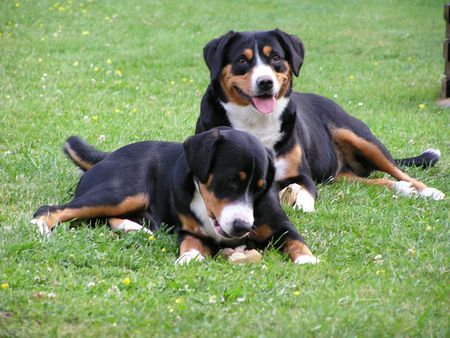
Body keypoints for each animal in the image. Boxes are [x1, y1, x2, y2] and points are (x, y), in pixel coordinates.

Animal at [31, 128, 318, 266]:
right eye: (230, 180)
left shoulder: (280, 223)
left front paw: (307, 259)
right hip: (121, 192)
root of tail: (109, 155)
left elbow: (295, 240)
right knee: (50, 208)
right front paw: (189, 257)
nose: (242, 226)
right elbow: (190, 244)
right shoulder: (189, 230)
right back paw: (39, 228)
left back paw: (134, 228)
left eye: (260, 187)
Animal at [195, 30, 444, 213]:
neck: (256, 122)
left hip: (359, 136)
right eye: (241, 60)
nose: (265, 82)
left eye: (275, 57)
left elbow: (305, 193)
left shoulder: (302, 176)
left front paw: (303, 205)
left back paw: (427, 191)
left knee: (398, 171)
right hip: (339, 176)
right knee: (375, 181)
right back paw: (403, 189)